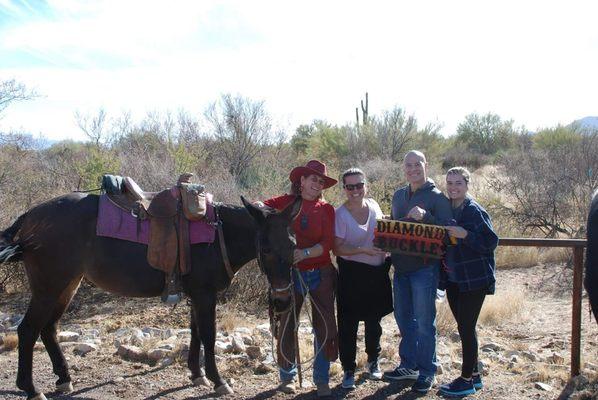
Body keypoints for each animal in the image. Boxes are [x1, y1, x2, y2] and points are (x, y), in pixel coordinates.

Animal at [0, 192, 300, 398]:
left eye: (293, 245)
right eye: (266, 248)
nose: (282, 300)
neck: (218, 235)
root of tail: (30, 216)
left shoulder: (196, 294)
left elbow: (195, 333)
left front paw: (196, 374)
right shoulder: (205, 295)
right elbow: (208, 335)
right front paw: (218, 381)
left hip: (67, 285)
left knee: (49, 328)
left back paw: (63, 378)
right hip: (49, 286)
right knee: (28, 330)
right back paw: (31, 388)